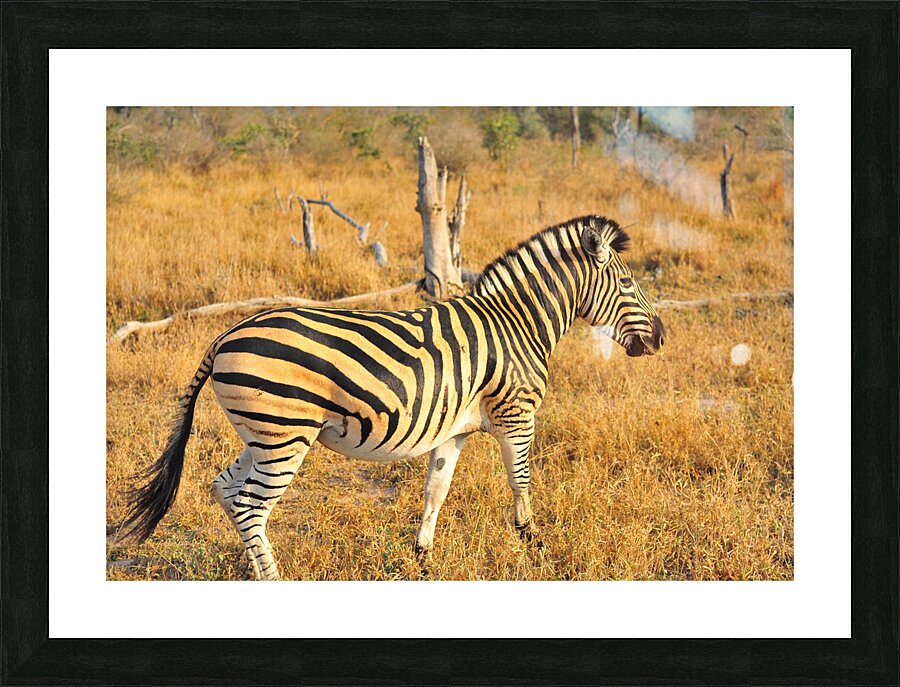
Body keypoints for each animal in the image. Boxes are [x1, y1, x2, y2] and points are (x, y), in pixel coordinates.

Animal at [122, 215, 665, 580]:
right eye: (626, 283)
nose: (660, 337)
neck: (516, 323)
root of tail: (224, 336)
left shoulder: (455, 430)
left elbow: (435, 491)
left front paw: (422, 559)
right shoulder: (517, 415)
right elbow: (521, 482)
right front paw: (535, 545)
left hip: (264, 434)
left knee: (226, 489)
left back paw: (254, 569)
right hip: (285, 436)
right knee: (252, 503)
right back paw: (272, 578)